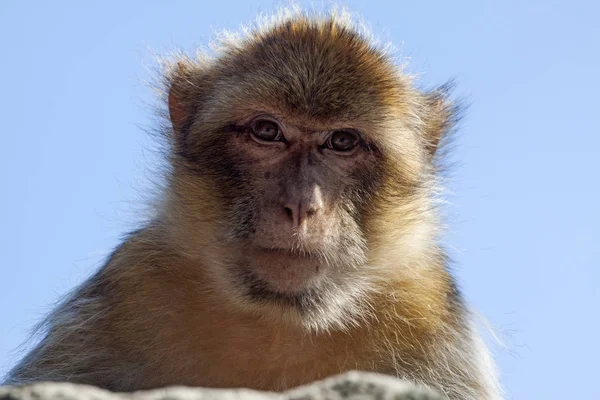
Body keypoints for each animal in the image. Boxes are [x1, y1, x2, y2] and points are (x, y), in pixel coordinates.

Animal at [3, 9, 502, 400]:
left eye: (342, 142)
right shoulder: (132, 284)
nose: (301, 206)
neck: (279, 320)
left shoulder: (428, 316)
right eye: (267, 132)